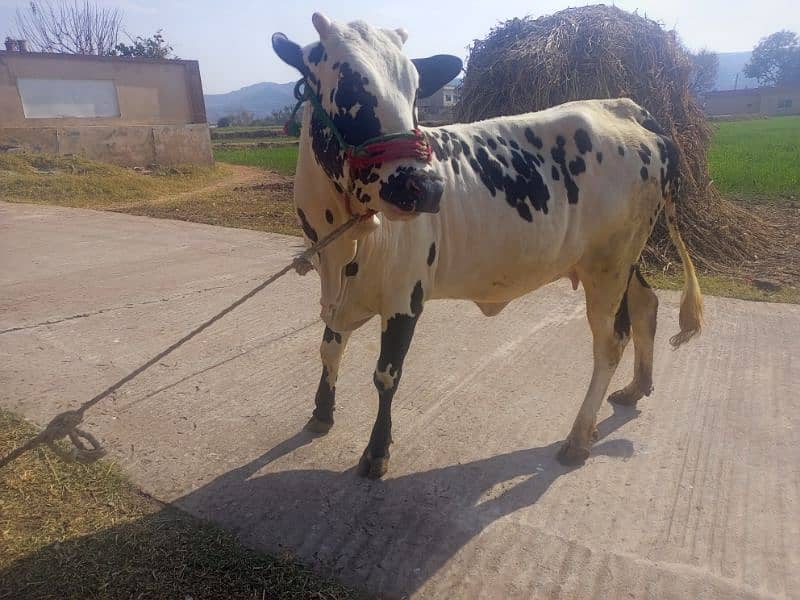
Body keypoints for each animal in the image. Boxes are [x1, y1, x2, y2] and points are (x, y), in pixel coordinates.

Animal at [272, 12, 704, 478]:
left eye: (415, 91)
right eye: (351, 88)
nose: (426, 188)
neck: (342, 245)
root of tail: (627, 107)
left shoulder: (405, 297)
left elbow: (386, 375)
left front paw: (377, 452)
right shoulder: (337, 293)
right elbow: (329, 350)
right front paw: (321, 413)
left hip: (608, 266)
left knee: (610, 342)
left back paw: (578, 438)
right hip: (624, 258)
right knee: (646, 304)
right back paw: (637, 387)